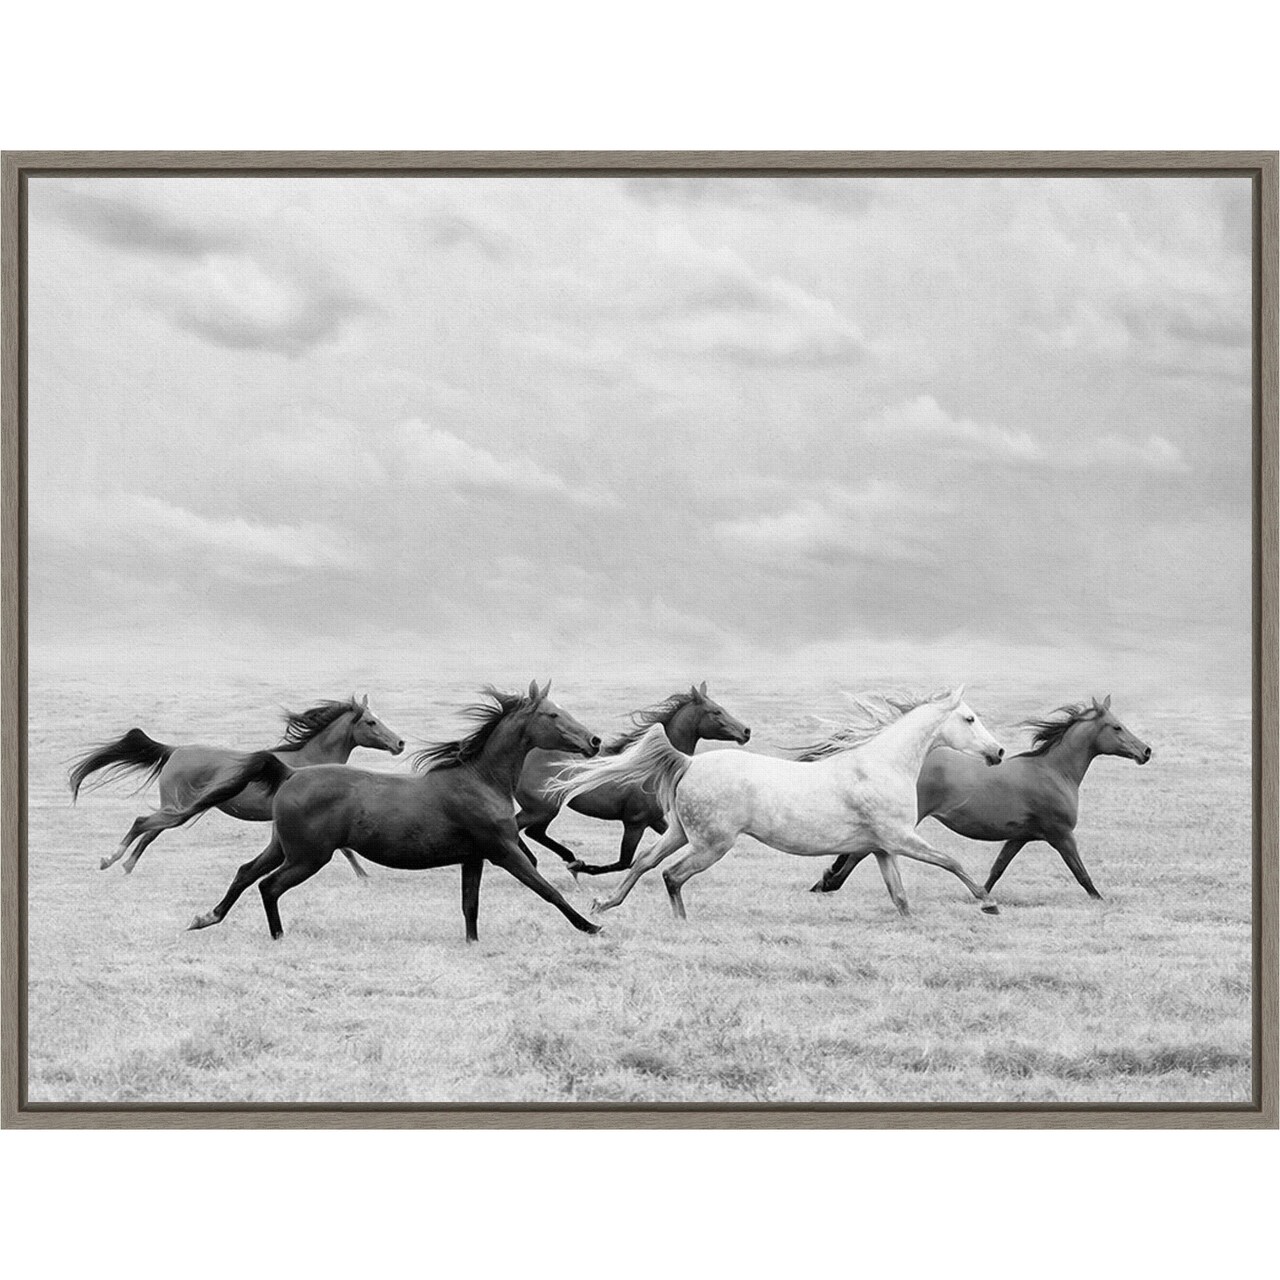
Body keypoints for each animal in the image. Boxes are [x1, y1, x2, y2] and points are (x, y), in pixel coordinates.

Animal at [69, 695, 405, 878]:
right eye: (371, 722)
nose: (400, 743)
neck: (307, 759)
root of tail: (175, 751)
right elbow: (345, 848)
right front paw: (365, 876)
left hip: (178, 807)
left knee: (152, 830)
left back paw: (126, 865)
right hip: (179, 805)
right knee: (144, 823)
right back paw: (111, 859)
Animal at [175, 682, 604, 944]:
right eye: (552, 715)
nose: (595, 741)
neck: (479, 780)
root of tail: (289, 773)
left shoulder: (474, 857)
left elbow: (470, 905)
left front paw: (472, 942)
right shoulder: (504, 851)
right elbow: (546, 889)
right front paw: (591, 925)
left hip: (284, 846)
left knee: (246, 872)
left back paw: (206, 917)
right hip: (308, 856)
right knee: (269, 885)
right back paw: (278, 936)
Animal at [514, 682, 751, 876]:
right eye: (716, 711)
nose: (746, 731)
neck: (656, 765)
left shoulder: (655, 819)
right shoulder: (635, 822)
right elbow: (624, 862)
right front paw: (584, 868)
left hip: (545, 809)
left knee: (534, 832)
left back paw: (563, 858)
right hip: (542, 808)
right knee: (521, 828)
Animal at [549, 687, 1006, 920]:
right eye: (969, 719)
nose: (999, 752)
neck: (881, 765)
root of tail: (689, 761)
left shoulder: (880, 848)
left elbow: (900, 898)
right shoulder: (900, 838)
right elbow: (951, 861)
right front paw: (988, 902)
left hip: (680, 832)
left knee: (644, 863)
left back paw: (605, 903)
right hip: (712, 843)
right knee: (671, 875)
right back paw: (680, 922)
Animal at [809, 695, 1151, 899]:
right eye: (1116, 727)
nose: (1146, 751)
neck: (1054, 771)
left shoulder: (1021, 836)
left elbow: (996, 869)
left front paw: (980, 896)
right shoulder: (1060, 834)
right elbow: (1081, 874)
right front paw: (1101, 900)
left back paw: (824, 881)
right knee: (858, 853)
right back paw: (826, 884)